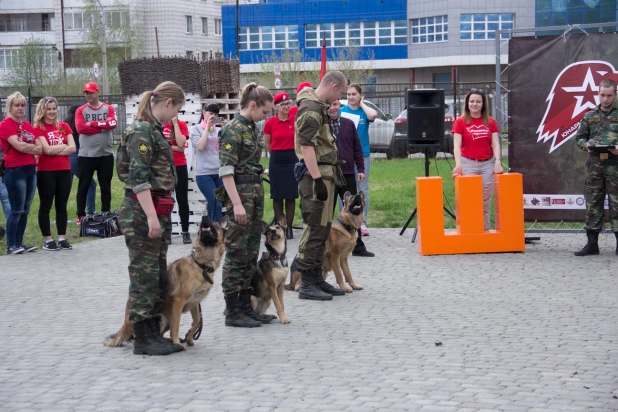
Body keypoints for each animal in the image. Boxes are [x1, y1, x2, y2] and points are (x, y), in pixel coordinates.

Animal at [103, 216, 229, 348]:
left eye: (215, 224)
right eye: (205, 222)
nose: (204, 217)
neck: (201, 265)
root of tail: (125, 324)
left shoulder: (195, 302)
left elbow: (197, 321)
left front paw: (189, 336)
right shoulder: (178, 301)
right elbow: (176, 325)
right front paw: (177, 342)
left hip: (165, 320)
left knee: (161, 335)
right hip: (162, 318)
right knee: (134, 338)